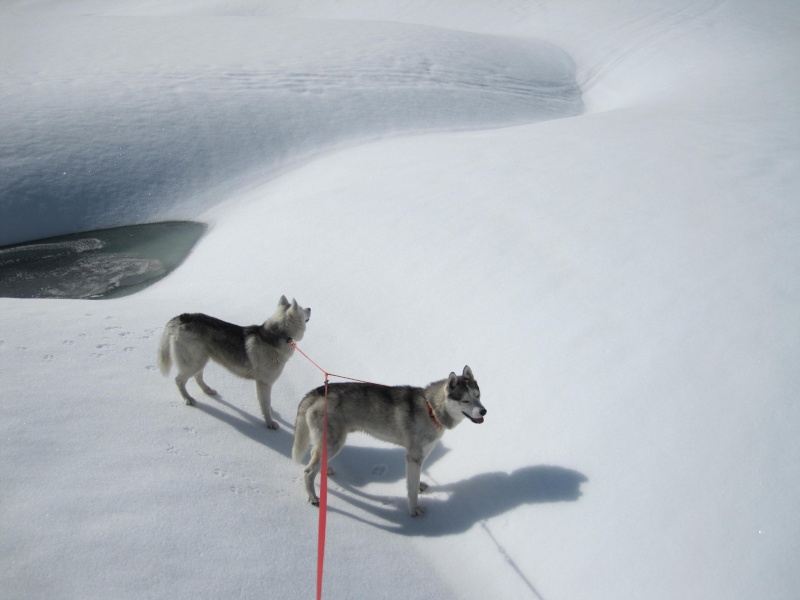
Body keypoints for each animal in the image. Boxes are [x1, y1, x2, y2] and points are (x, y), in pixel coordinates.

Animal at [156, 294, 310, 426]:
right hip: (193, 362)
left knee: (197, 377)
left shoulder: (262, 384)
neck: (280, 335)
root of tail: (180, 318)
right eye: (302, 309)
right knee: (179, 380)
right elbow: (265, 404)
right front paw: (270, 423)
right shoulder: (264, 382)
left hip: (200, 360)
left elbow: (264, 402)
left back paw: (207, 390)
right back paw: (188, 399)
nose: (310, 308)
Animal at [292, 366, 484, 516]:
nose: (484, 411)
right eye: (465, 400)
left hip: (329, 443)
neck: (431, 409)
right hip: (334, 442)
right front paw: (414, 509)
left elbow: (414, 480)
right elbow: (411, 490)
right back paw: (313, 497)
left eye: (478, 395)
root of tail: (317, 392)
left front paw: (419, 486)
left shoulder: (419, 456)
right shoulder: (414, 457)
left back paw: (326, 469)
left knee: (314, 455)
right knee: (308, 471)